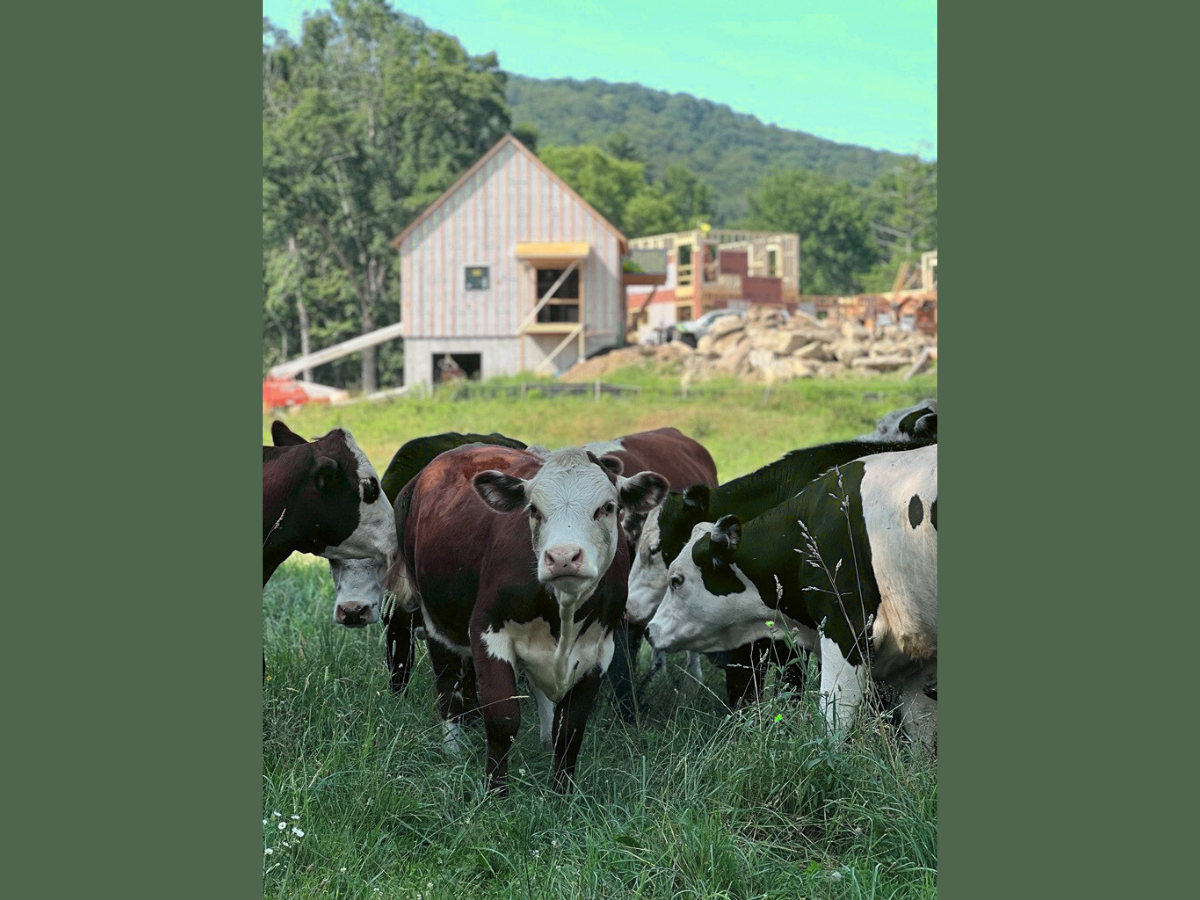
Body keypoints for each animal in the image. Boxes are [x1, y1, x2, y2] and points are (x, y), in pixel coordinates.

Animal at [387, 444, 667, 794]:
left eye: (607, 507)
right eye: (533, 509)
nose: (562, 557)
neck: (563, 609)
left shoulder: (600, 649)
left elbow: (571, 727)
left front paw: (562, 791)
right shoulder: (487, 631)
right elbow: (503, 718)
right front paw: (496, 791)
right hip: (434, 615)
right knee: (448, 681)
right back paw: (453, 745)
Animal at [647, 443, 937, 748]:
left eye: (676, 580)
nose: (649, 630)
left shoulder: (845, 633)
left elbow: (832, 726)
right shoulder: (919, 664)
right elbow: (921, 739)